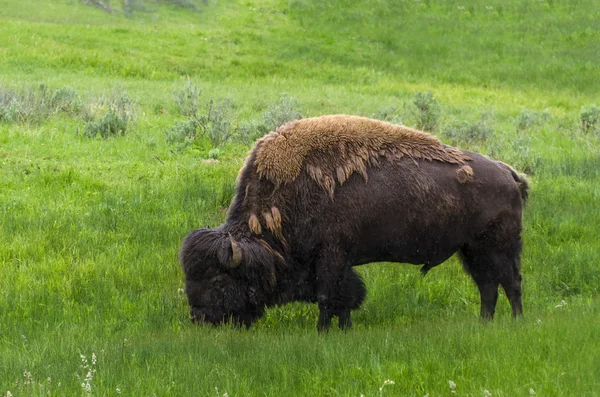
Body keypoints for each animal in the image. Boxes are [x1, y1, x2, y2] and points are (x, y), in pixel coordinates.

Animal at [180, 114, 528, 332]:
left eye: (218, 280)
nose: (199, 318)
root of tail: (508, 172)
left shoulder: (330, 255)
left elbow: (328, 296)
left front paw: (322, 332)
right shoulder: (339, 261)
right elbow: (342, 297)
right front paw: (343, 328)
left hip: (499, 247)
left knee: (510, 282)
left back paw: (516, 323)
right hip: (471, 251)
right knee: (487, 286)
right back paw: (485, 323)